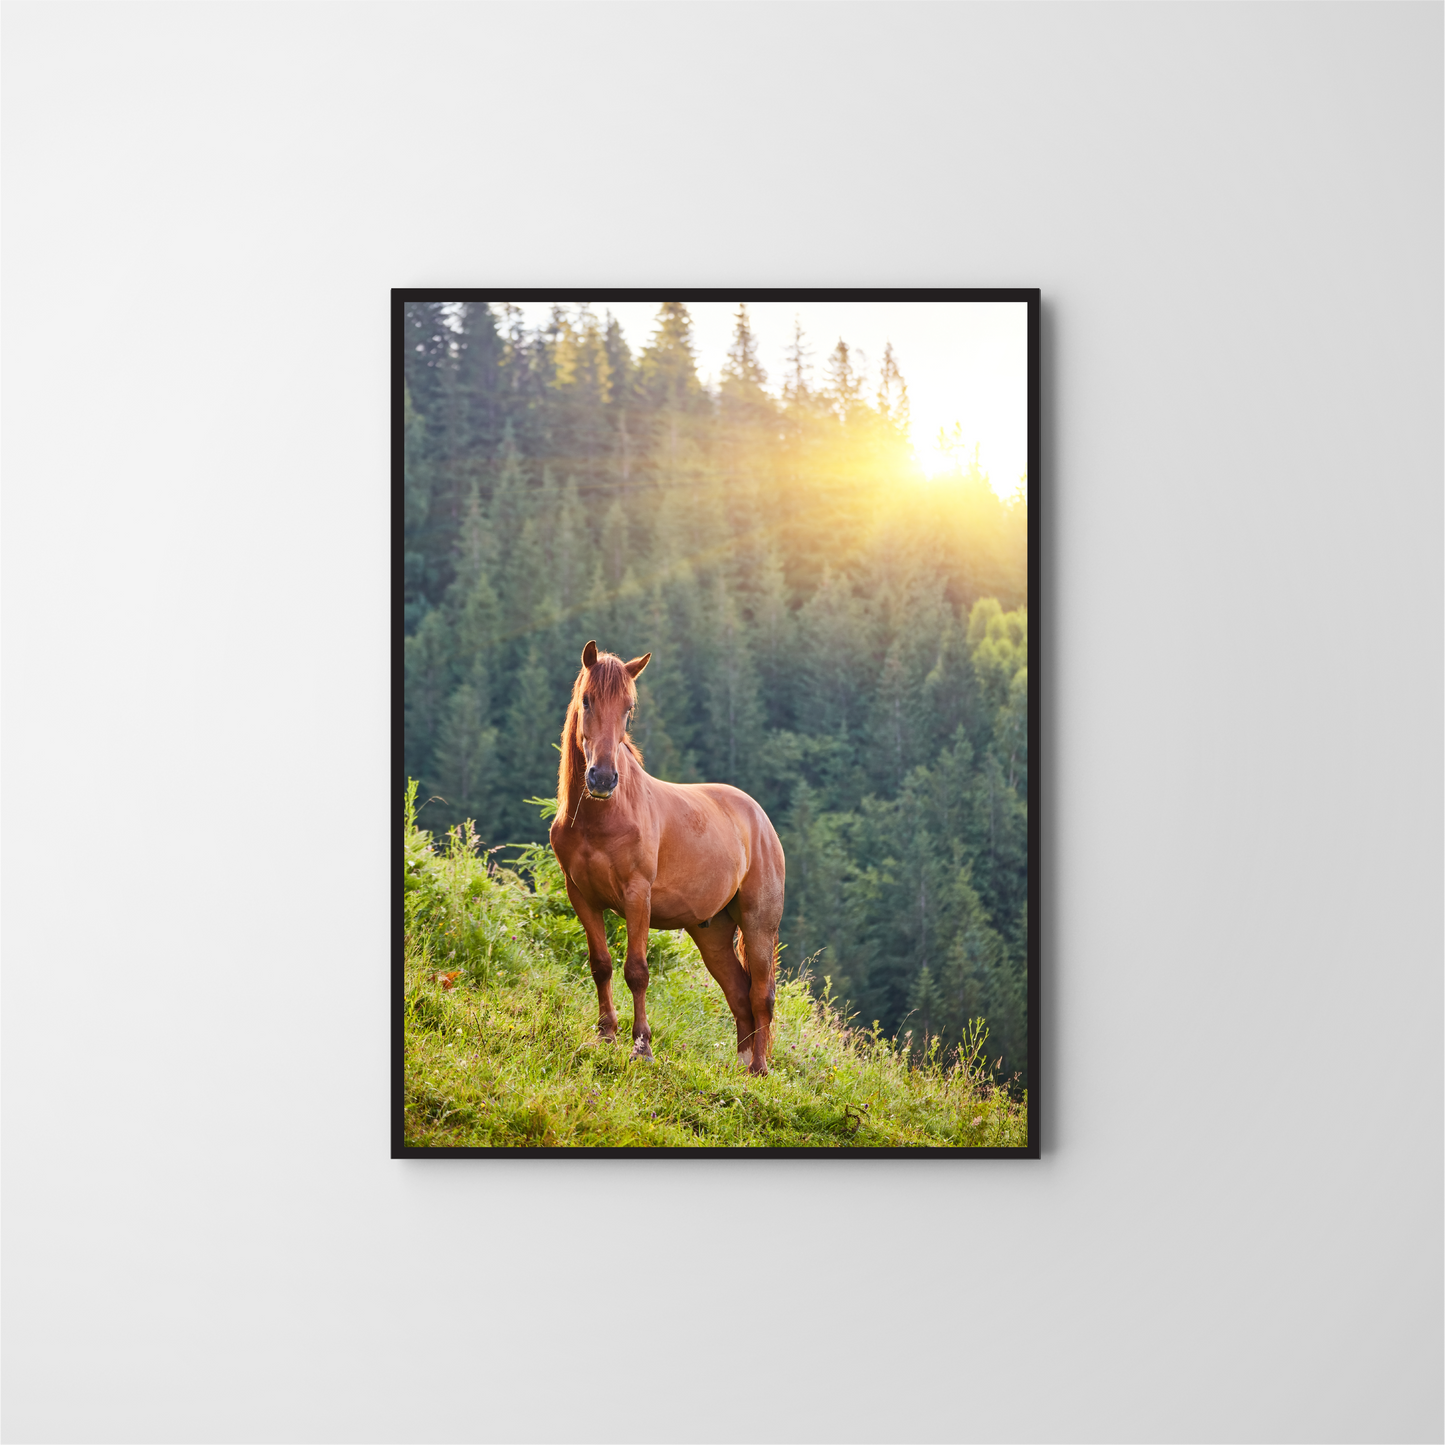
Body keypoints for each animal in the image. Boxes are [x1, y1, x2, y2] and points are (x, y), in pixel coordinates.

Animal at [548, 640, 787, 1075]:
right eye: (587, 700)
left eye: (628, 708)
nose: (602, 778)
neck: (602, 817)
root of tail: (759, 818)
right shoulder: (582, 897)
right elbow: (600, 964)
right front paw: (605, 1036)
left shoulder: (636, 896)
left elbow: (637, 971)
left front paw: (641, 1047)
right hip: (711, 931)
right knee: (739, 993)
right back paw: (741, 1067)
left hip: (759, 924)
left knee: (762, 994)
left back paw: (760, 1069)